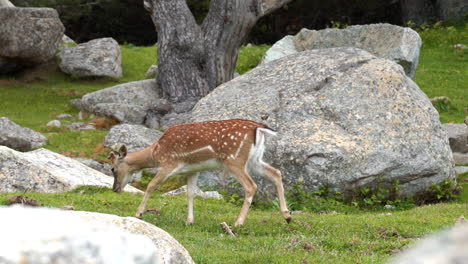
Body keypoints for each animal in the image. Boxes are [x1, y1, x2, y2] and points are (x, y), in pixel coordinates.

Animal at [108, 118, 290, 226]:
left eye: (113, 169)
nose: (115, 189)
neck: (156, 153)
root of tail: (259, 128)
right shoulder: (192, 170)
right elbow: (190, 193)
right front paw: (189, 221)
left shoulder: (168, 164)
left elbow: (151, 185)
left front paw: (138, 213)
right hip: (254, 160)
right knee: (276, 173)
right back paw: (287, 216)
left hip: (234, 160)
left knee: (251, 185)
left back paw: (238, 222)